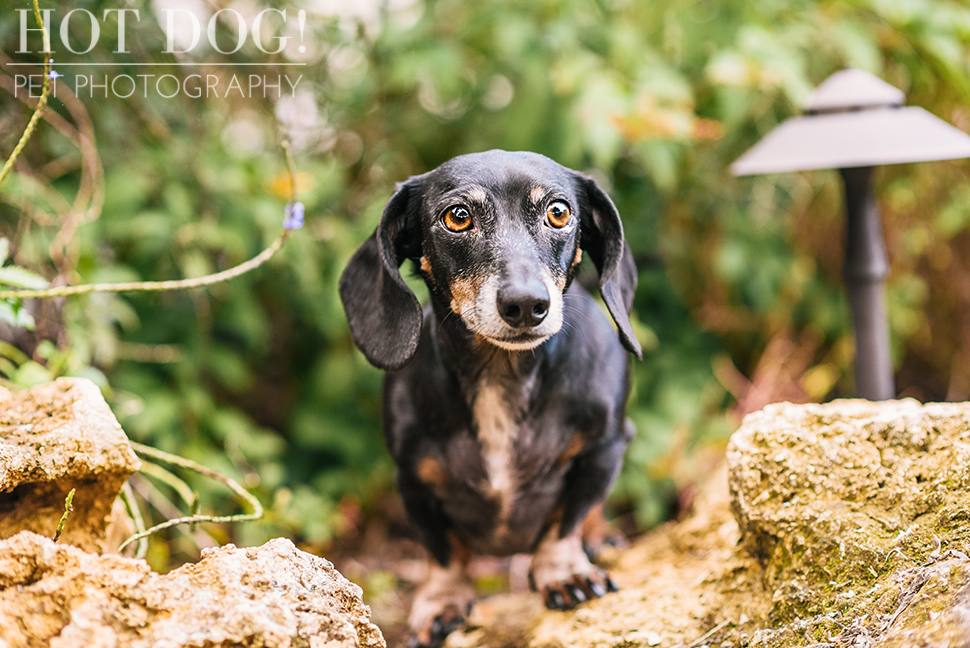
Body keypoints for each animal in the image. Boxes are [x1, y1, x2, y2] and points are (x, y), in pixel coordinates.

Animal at [340, 151, 644, 644]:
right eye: (458, 217)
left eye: (558, 212)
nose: (525, 305)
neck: (503, 376)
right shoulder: (413, 479)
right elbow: (443, 552)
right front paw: (442, 602)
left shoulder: (604, 449)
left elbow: (568, 520)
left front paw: (565, 572)